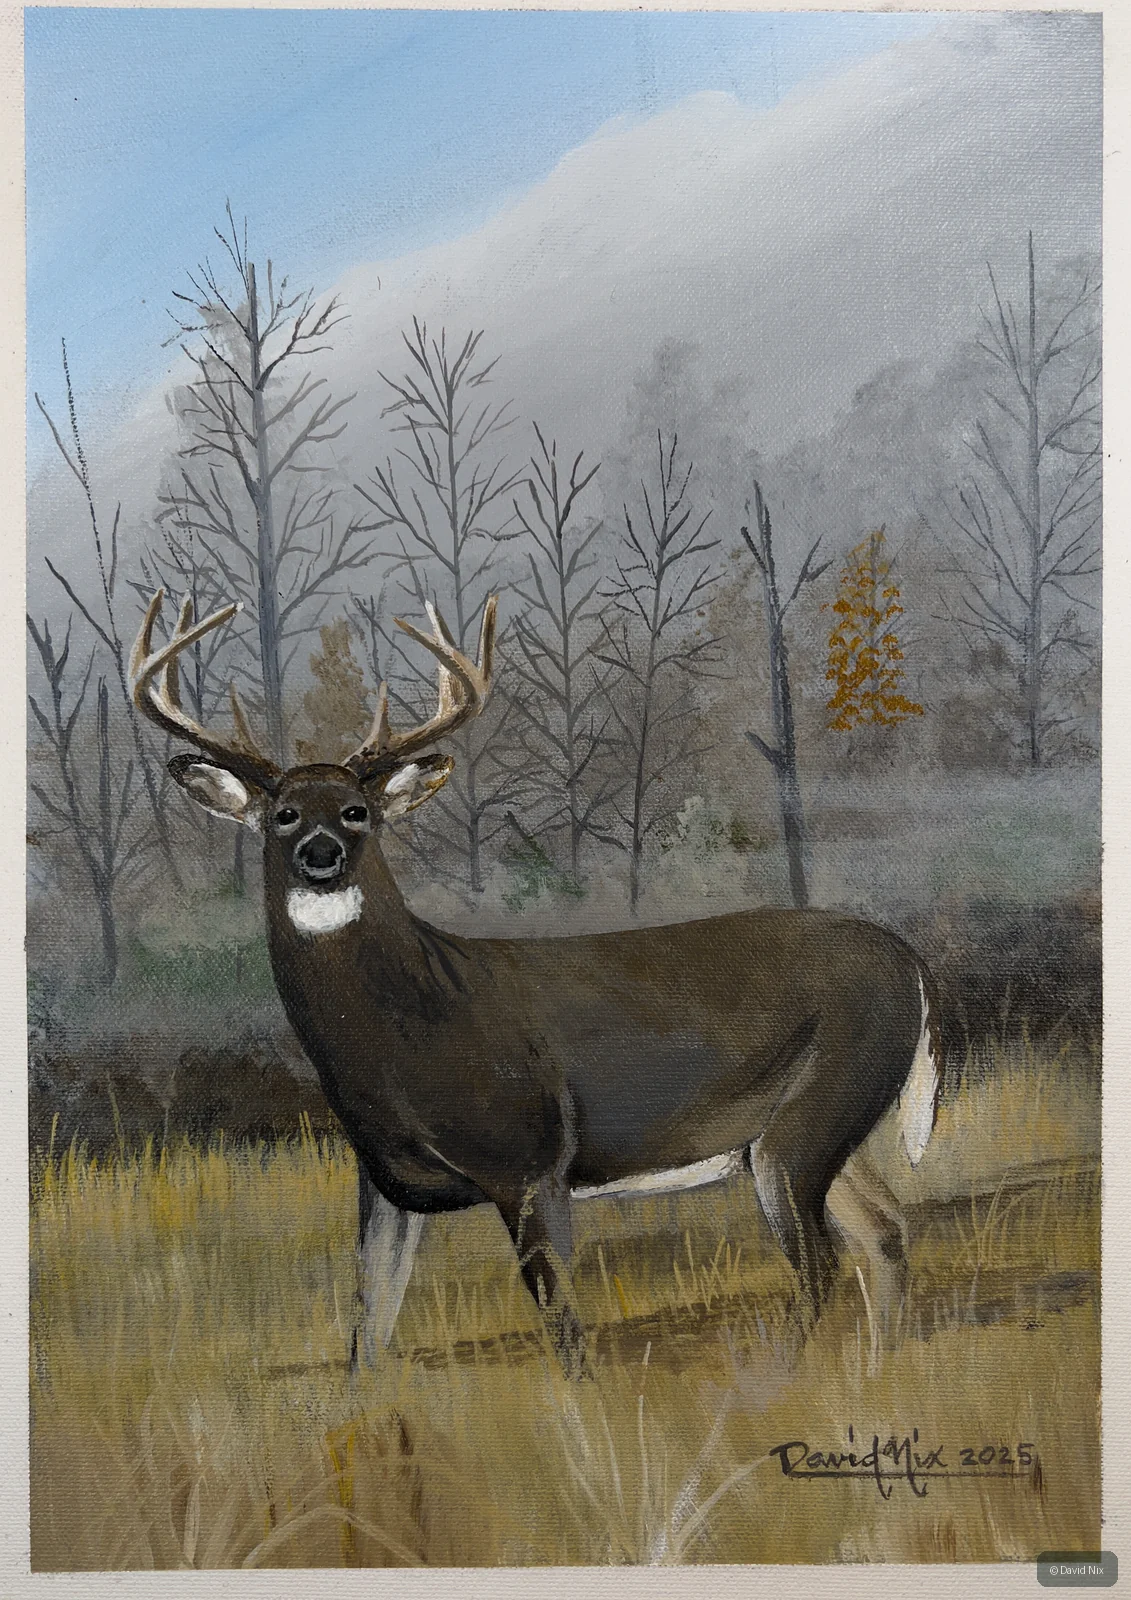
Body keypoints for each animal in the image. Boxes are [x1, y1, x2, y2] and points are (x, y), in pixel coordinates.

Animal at [130, 588, 942, 1376]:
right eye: (284, 815)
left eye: (358, 811)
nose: (321, 854)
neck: (407, 1034)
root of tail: (910, 961)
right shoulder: (384, 1186)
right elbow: (368, 1336)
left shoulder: (531, 1160)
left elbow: (565, 1330)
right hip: (817, 1131)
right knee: (886, 1233)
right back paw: (873, 1375)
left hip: (811, 1114)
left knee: (822, 1264)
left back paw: (781, 1383)